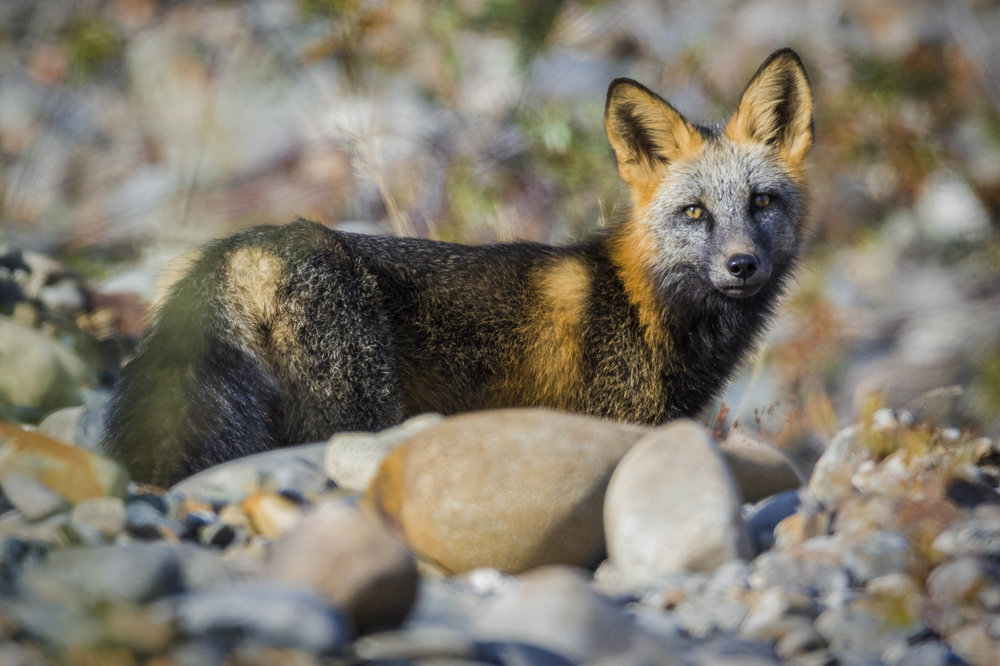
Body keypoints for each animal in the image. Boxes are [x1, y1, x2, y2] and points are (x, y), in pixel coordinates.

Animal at [105, 46, 816, 482]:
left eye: (761, 202)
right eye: (694, 212)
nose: (742, 265)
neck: (646, 305)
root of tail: (242, 246)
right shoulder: (610, 426)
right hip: (353, 407)